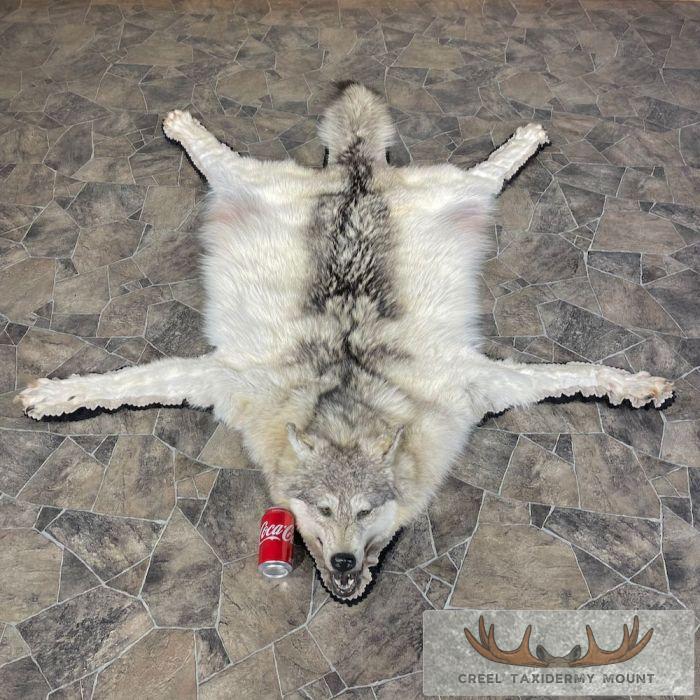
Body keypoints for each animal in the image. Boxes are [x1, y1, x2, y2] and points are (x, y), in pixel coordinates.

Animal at [19, 83, 673, 600]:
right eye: (324, 510)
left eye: (365, 512)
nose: (341, 561)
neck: (347, 399)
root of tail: (356, 170)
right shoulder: (223, 379)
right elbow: (122, 382)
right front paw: (53, 396)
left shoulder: (478, 383)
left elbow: (579, 372)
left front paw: (636, 384)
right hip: (251, 184)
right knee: (217, 157)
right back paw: (184, 125)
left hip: (461, 194)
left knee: (491, 170)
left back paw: (527, 138)